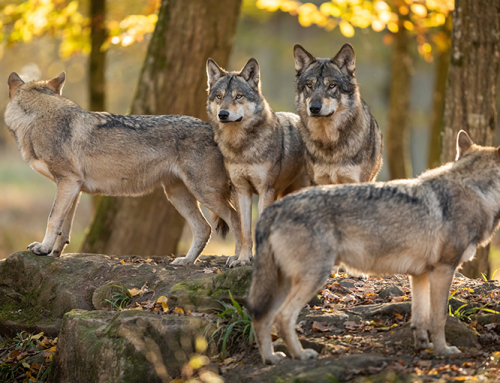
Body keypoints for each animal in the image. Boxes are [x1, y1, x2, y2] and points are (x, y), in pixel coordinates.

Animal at [4, 72, 242, 266]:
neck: (37, 119)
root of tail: (215, 130)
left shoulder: (67, 182)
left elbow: (52, 218)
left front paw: (43, 249)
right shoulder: (73, 187)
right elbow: (65, 227)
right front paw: (54, 253)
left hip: (205, 193)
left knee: (236, 218)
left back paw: (239, 260)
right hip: (178, 195)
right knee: (204, 228)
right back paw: (186, 261)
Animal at [206, 58, 308, 268]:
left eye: (238, 97)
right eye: (219, 97)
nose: (223, 114)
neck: (242, 147)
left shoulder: (264, 190)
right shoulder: (241, 190)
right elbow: (245, 231)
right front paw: (243, 259)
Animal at [247, 132, 500, 366]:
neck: (476, 190)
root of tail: (275, 208)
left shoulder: (420, 275)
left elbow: (420, 318)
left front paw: (423, 346)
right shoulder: (443, 270)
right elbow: (438, 319)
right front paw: (444, 351)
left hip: (283, 283)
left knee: (261, 318)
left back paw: (271, 358)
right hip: (312, 278)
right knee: (283, 317)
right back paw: (300, 355)